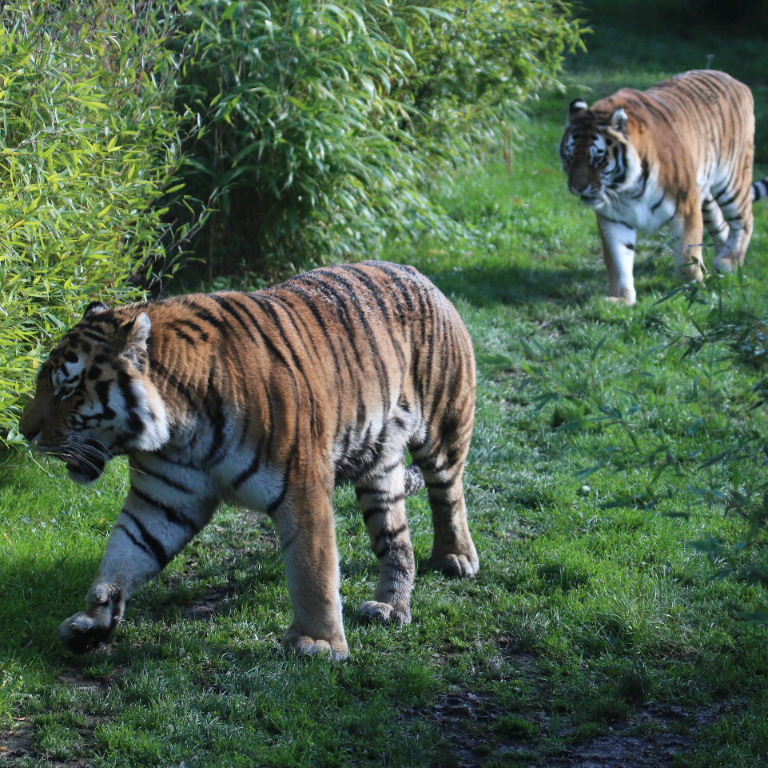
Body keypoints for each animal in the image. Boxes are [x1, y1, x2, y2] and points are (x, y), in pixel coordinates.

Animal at [21, 260, 476, 656]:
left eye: (68, 389)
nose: (25, 431)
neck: (179, 430)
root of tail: (418, 273)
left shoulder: (302, 487)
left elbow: (313, 569)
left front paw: (318, 643)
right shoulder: (163, 499)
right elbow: (124, 554)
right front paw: (93, 620)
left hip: (444, 427)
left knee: (449, 493)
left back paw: (455, 558)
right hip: (378, 466)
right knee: (396, 539)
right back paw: (391, 606)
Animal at [560, 68, 756, 304]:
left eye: (597, 160)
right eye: (570, 158)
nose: (578, 187)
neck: (626, 189)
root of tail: (735, 81)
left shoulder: (687, 208)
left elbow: (687, 254)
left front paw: (692, 290)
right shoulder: (613, 218)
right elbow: (618, 260)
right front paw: (621, 299)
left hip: (732, 180)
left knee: (745, 220)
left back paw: (729, 261)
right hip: (706, 196)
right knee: (723, 225)